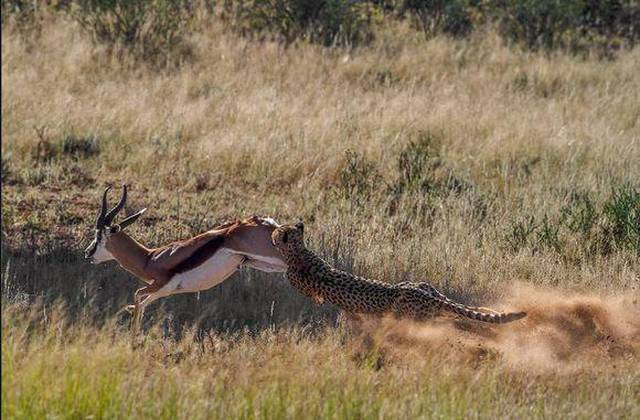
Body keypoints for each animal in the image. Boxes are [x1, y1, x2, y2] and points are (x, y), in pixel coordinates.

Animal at [85, 185, 288, 334]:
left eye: (98, 235)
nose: (87, 252)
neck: (149, 258)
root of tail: (260, 221)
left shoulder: (161, 285)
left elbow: (137, 296)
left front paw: (134, 339)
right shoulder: (163, 290)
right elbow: (141, 303)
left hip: (272, 256)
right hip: (262, 263)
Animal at [270, 221, 524, 324]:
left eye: (279, 232)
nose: (273, 234)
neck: (299, 251)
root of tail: (421, 292)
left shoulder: (296, 280)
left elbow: (311, 295)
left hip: (411, 314)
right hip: (425, 288)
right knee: (454, 307)